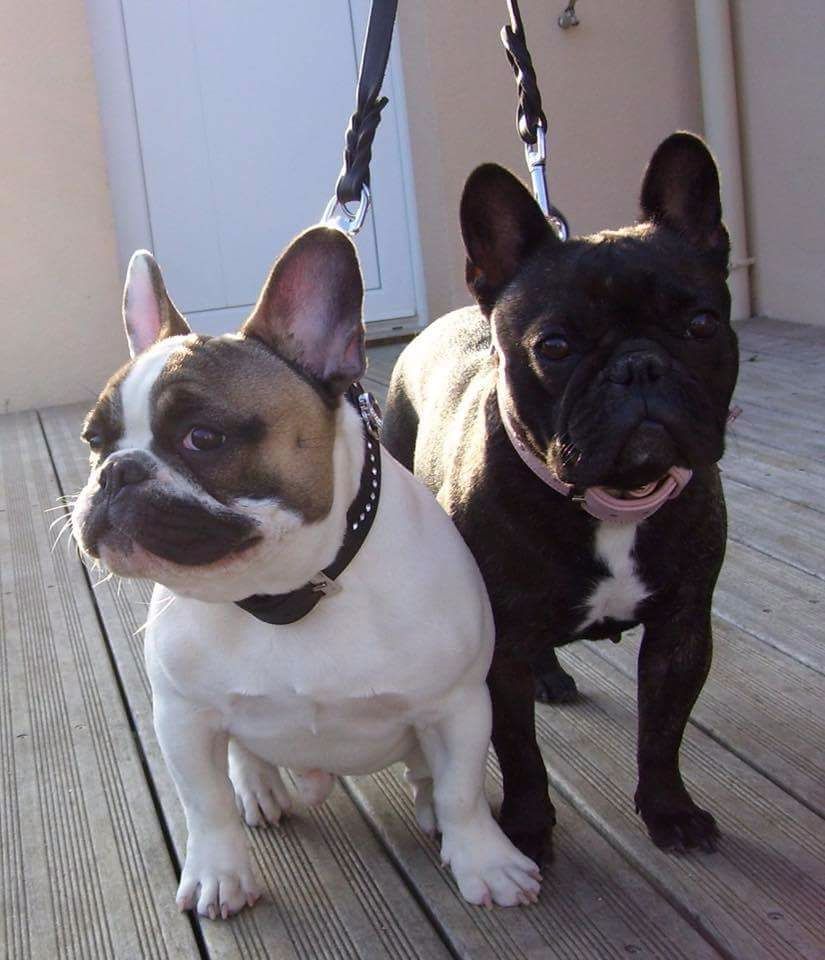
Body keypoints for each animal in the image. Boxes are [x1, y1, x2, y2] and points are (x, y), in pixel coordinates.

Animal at [71, 225, 541, 917]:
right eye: (94, 441)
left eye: (203, 438)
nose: (116, 472)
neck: (290, 592)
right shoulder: (183, 717)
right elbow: (205, 805)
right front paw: (219, 873)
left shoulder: (459, 705)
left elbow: (463, 790)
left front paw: (486, 860)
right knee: (243, 758)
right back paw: (260, 789)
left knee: (430, 774)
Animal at [382, 132, 739, 863]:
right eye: (555, 345)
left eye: (700, 324)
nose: (639, 365)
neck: (611, 502)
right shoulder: (499, 650)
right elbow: (519, 750)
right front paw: (524, 829)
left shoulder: (682, 629)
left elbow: (663, 732)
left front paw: (669, 811)